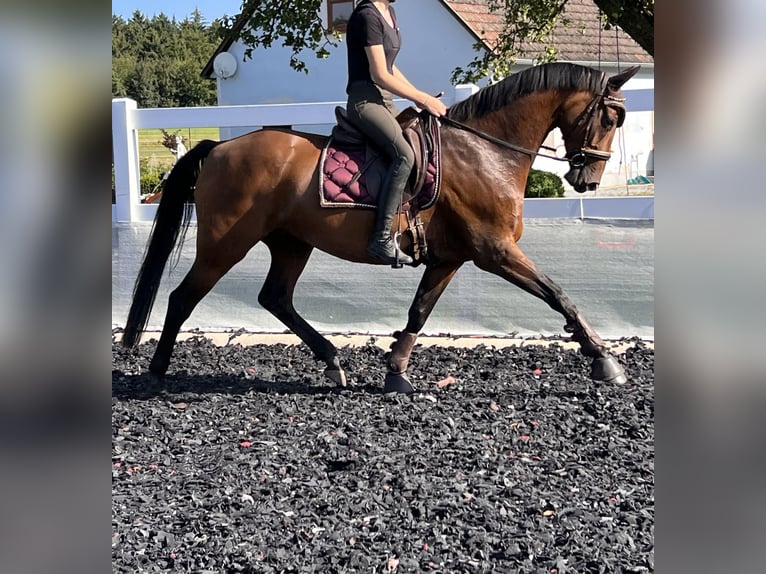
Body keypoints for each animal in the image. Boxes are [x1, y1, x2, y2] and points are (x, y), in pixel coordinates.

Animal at [124, 64, 640, 396]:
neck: (485, 152)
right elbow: (559, 295)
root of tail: (219, 148)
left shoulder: (451, 258)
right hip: (225, 243)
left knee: (275, 298)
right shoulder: (495, 251)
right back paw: (155, 374)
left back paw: (332, 361)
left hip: (291, 243)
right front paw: (605, 362)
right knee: (182, 298)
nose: (588, 179)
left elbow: (418, 312)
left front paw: (395, 372)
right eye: (611, 117)